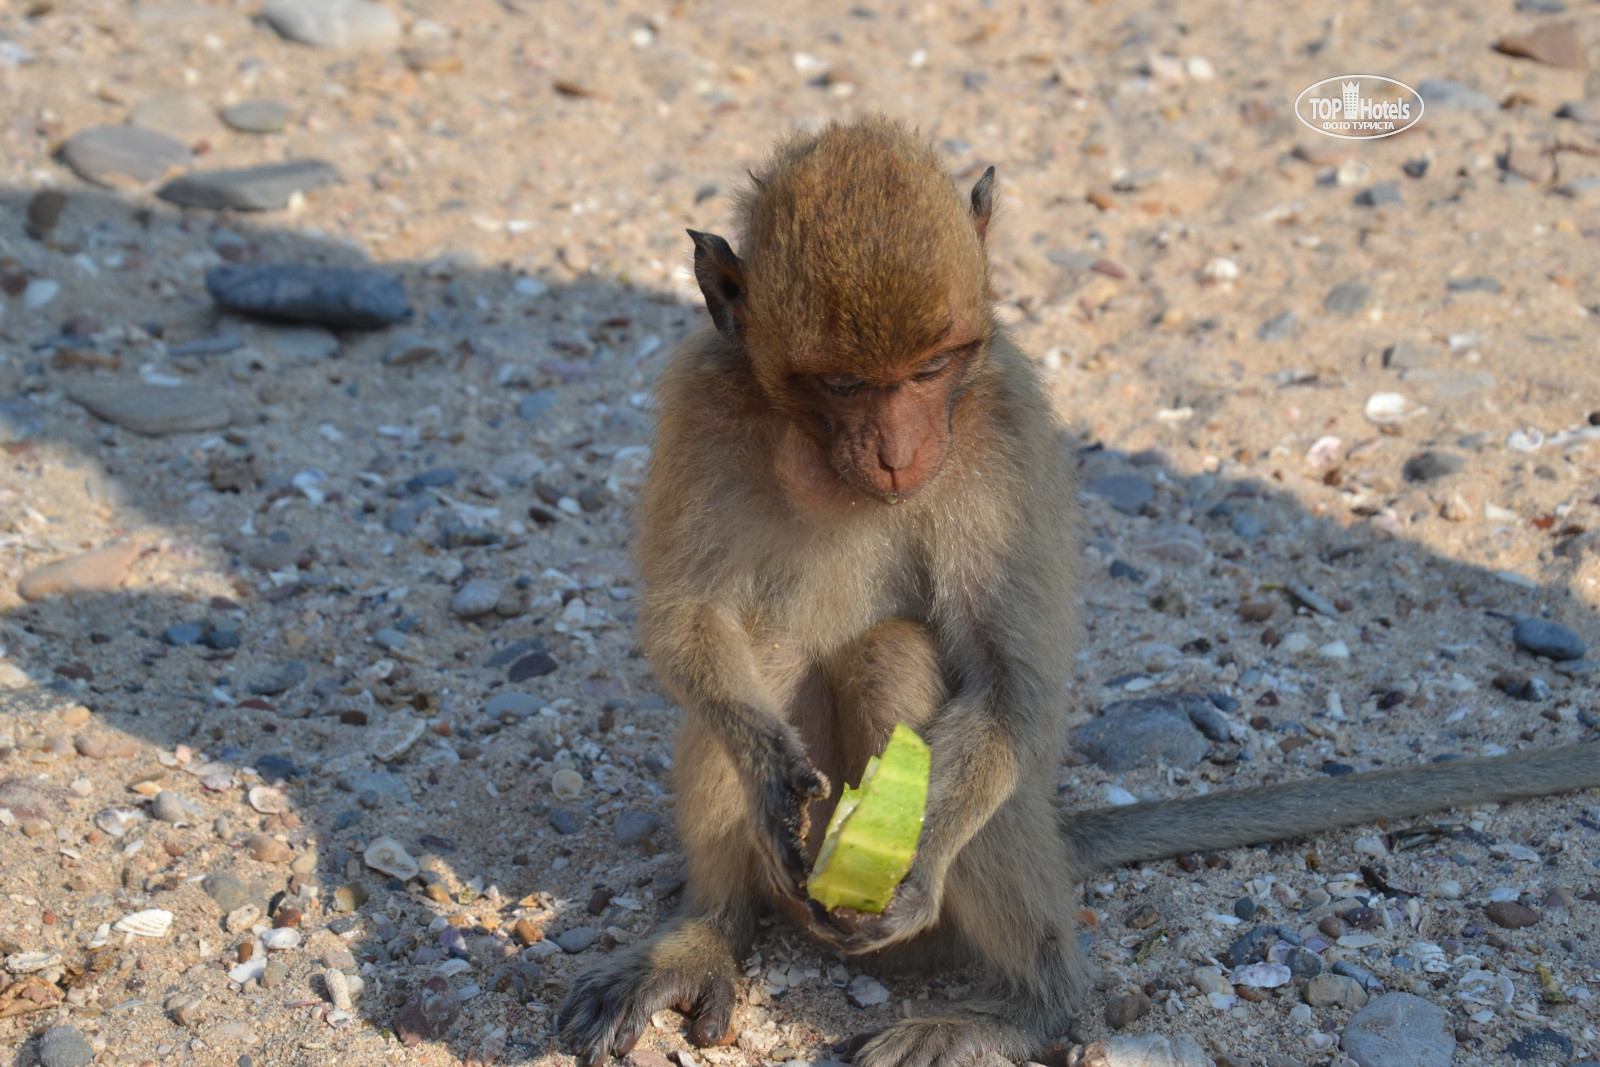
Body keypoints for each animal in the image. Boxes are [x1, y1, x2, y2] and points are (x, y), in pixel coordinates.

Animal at [553, 120, 1600, 1067]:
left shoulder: (1003, 422)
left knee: (919, 683)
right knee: (761, 659)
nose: (898, 451)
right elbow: (687, 617)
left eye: (931, 368)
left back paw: (1029, 1007)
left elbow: (1012, 684)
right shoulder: (701, 399)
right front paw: (770, 771)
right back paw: (708, 932)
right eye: (844, 383)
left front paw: (918, 862)